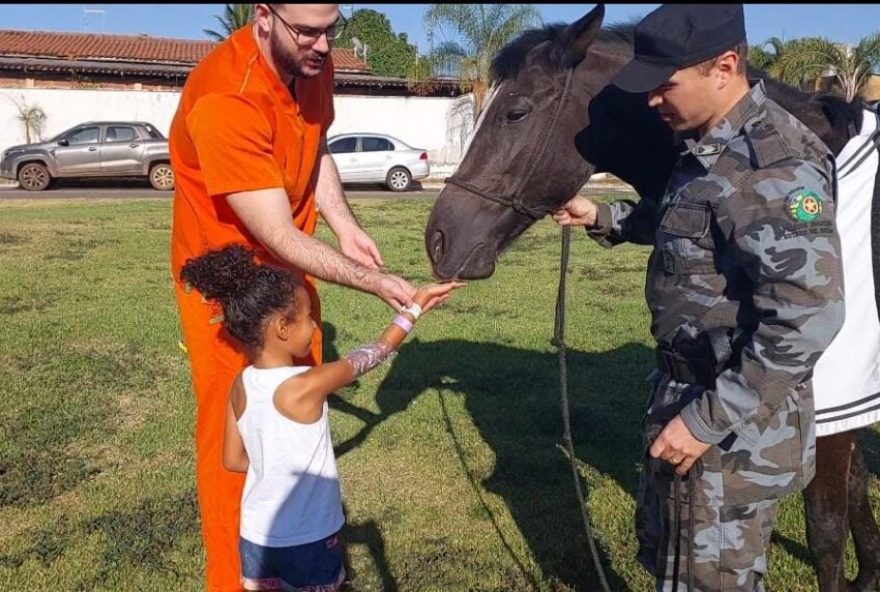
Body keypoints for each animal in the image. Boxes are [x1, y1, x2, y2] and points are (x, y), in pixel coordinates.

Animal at [424, 5, 880, 592]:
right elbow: (857, 497)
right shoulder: (844, 405)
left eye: (516, 113)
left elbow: (827, 529)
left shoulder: (830, 397)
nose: (440, 241)